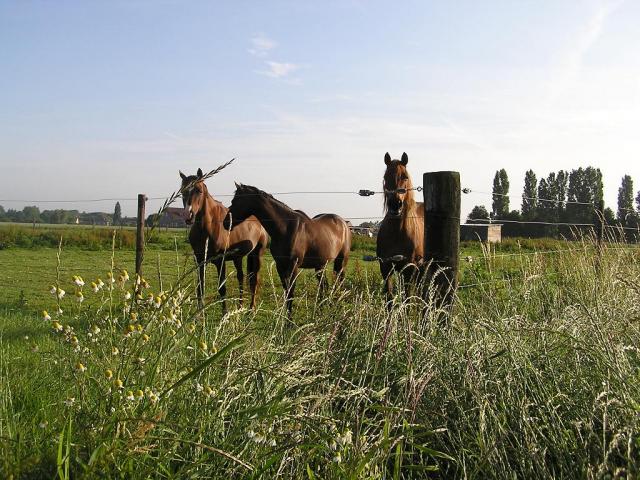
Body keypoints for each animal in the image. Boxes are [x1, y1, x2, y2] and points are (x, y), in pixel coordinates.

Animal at [179, 169, 268, 311]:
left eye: (199, 190)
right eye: (182, 191)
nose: (188, 215)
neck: (208, 227)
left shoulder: (220, 261)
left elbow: (222, 289)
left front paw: (225, 313)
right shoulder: (200, 260)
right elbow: (200, 288)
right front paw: (199, 313)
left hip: (257, 255)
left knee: (254, 280)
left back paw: (251, 308)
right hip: (238, 257)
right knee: (241, 277)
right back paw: (240, 306)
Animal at [222, 183, 351, 315]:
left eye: (235, 201)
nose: (226, 223)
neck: (285, 228)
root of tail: (344, 224)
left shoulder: (293, 266)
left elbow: (291, 292)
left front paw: (289, 319)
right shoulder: (280, 265)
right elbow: (286, 292)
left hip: (341, 262)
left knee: (339, 282)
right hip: (320, 265)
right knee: (324, 285)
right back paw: (321, 309)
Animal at [376, 152, 424, 303]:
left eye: (405, 177)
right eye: (386, 177)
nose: (395, 204)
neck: (397, 232)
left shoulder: (409, 268)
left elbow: (407, 297)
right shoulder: (385, 267)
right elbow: (389, 297)